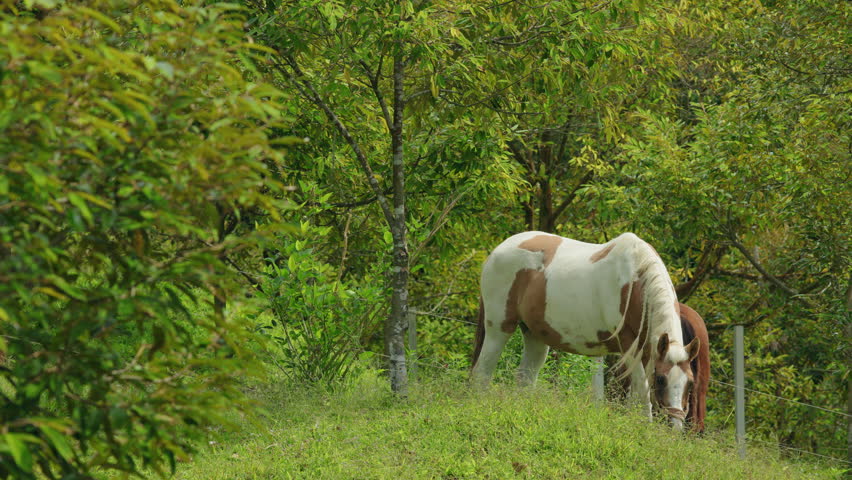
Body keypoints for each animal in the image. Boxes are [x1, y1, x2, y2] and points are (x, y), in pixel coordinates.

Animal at [471, 231, 700, 429]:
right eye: (661, 379)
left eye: (690, 382)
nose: (675, 427)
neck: (635, 282)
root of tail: (498, 250)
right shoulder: (629, 349)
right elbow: (643, 395)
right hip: (499, 328)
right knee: (482, 373)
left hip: (534, 336)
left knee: (525, 379)